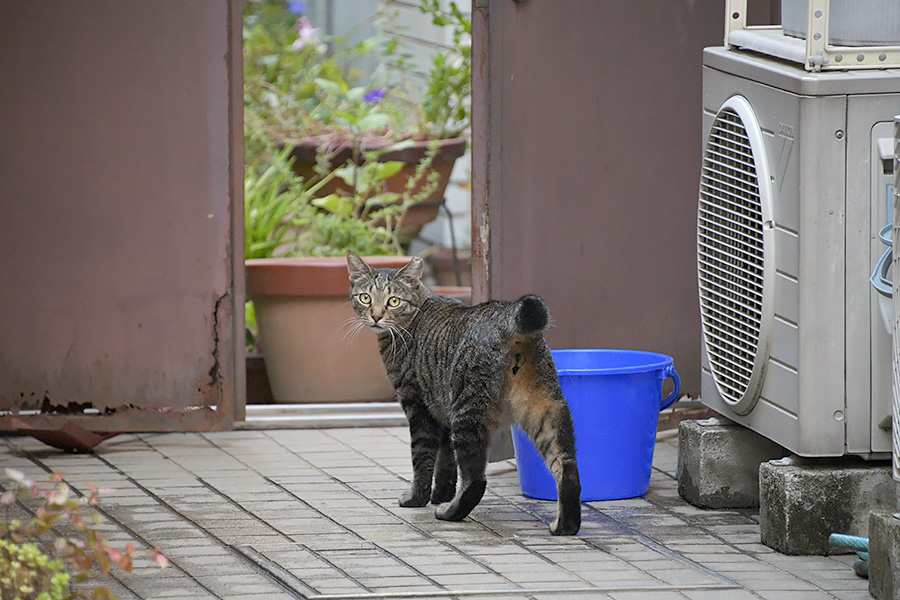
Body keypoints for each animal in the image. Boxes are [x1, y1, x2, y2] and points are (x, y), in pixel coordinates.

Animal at [344, 252, 584, 536]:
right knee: (568, 468)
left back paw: (450, 513)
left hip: (468, 413)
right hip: (545, 408)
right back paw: (566, 525)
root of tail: (508, 316)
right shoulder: (442, 409)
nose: (376, 316)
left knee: (475, 479)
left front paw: (418, 498)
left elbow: (423, 457)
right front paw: (441, 494)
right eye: (365, 297)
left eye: (393, 301)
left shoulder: (418, 405)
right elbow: (445, 462)